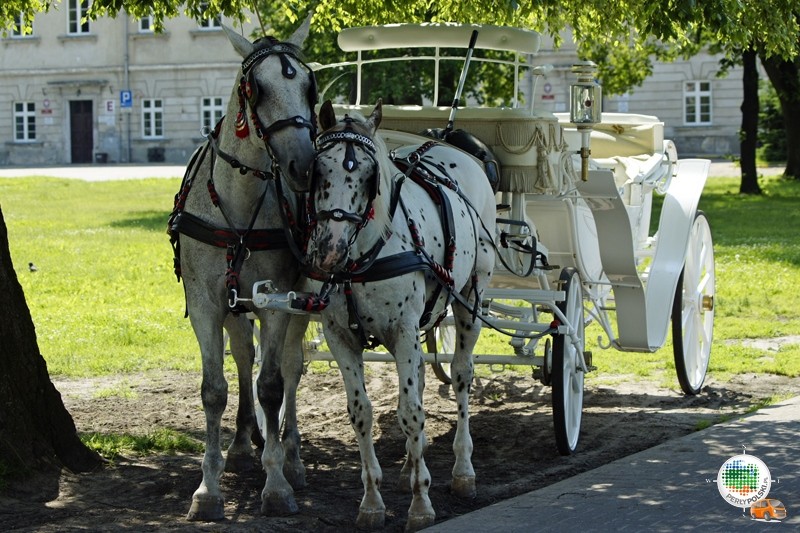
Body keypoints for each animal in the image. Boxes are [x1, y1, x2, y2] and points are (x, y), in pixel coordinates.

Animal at [168, 19, 316, 520]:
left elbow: (271, 385)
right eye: (258, 88)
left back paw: (290, 455)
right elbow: (215, 389)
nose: (304, 166)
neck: (237, 200)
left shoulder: (276, 301)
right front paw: (208, 489)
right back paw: (241, 443)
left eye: (308, 86)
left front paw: (276, 485)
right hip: (235, 305)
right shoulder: (206, 303)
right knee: (244, 355)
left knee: (291, 368)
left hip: (302, 301)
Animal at [304, 98, 494, 528]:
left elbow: (411, 413)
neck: (360, 258)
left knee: (461, 375)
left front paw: (421, 503)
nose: (329, 251)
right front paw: (372, 501)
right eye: (317, 168)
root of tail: (448, 144)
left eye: (369, 175)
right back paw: (411, 463)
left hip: (471, 297)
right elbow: (361, 412)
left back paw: (463, 469)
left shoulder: (404, 331)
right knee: (421, 379)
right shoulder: (339, 335)